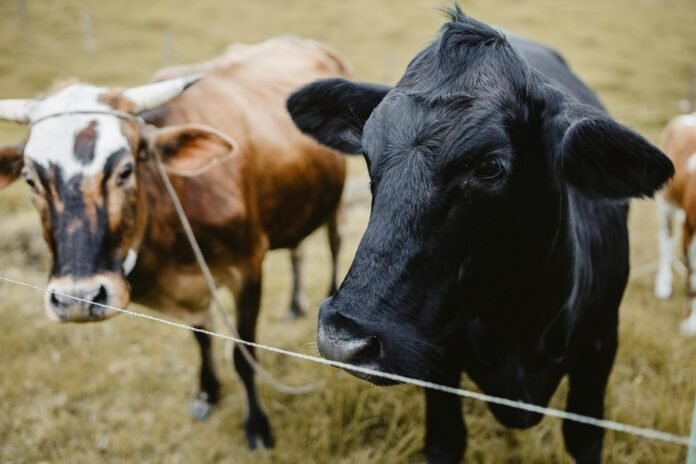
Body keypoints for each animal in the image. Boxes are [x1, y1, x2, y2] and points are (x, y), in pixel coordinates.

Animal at [0, 38, 348, 452]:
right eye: (29, 178)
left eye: (125, 170)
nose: (78, 300)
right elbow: (201, 337)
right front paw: (208, 391)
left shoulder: (247, 268)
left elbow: (243, 353)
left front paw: (257, 425)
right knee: (297, 250)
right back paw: (295, 305)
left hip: (335, 200)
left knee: (334, 244)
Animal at [286, 8, 672, 464]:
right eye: (366, 153)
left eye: (490, 167)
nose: (344, 339)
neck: (519, 322)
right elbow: (445, 439)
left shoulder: (600, 345)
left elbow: (585, 437)